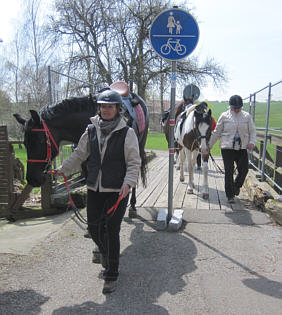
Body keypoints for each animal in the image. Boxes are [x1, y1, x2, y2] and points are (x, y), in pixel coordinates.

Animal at [13, 92, 148, 218]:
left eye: (40, 140)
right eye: (25, 143)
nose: (32, 179)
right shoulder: (87, 167)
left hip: (138, 148)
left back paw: (133, 206)